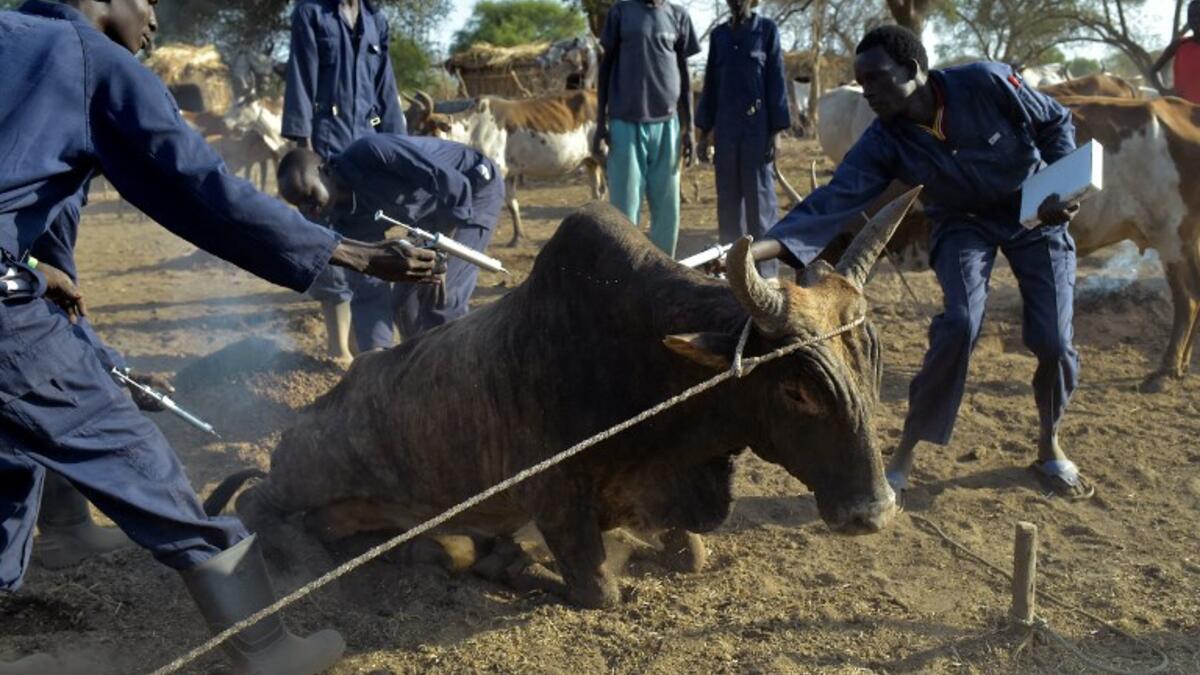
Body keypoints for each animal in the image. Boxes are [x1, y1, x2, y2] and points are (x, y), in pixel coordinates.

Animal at [203, 194, 916, 609]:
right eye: (797, 388)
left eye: (873, 367)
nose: (874, 512)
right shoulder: (555, 500)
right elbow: (601, 589)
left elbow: (689, 551)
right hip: (306, 476)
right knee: (256, 502)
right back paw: (303, 563)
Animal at [405, 90, 605, 246]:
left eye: (421, 130)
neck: (472, 130)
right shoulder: (509, 174)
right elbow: (512, 205)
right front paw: (517, 238)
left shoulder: (497, 171)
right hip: (591, 161)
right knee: (597, 191)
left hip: (604, 154)